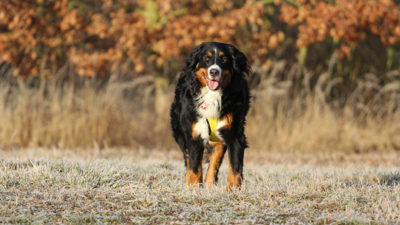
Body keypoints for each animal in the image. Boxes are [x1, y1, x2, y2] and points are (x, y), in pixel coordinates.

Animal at [170, 41, 250, 190]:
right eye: (206, 59)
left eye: (224, 59)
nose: (214, 71)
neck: (212, 95)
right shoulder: (195, 133)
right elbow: (195, 168)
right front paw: (194, 189)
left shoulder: (235, 134)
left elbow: (235, 168)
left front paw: (233, 190)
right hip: (180, 132)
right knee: (188, 160)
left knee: (214, 162)